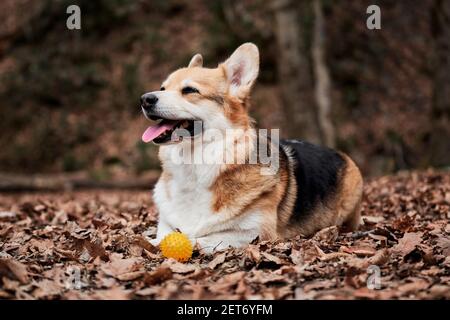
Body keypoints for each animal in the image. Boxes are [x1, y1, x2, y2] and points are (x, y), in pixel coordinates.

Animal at [139, 43, 364, 252]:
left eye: (189, 90)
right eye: (163, 88)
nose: (144, 99)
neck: (194, 162)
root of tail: (340, 154)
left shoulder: (255, 232)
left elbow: (198, 239)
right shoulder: (166, 223)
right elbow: (167, 234)